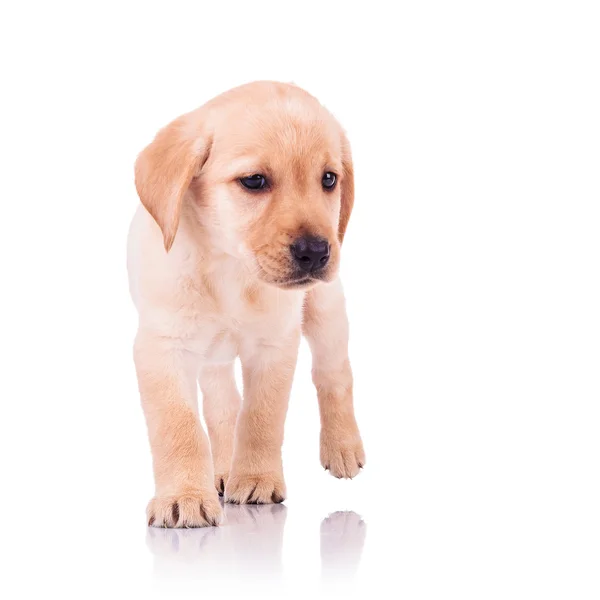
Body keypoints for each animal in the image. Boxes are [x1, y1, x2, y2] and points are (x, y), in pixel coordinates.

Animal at [129, 78, 366, 524]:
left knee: (333, 374)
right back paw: (221, 469)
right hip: (214, 361)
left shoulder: (275, 345)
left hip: (325, 309)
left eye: (329, 179)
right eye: (254, 181)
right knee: (223, 406)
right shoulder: (163, 347)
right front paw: (185, 495)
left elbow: (261, 417)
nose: (316, 252)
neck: (229, 268)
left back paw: (343, 446)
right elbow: (179, 425)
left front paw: (255, 478)